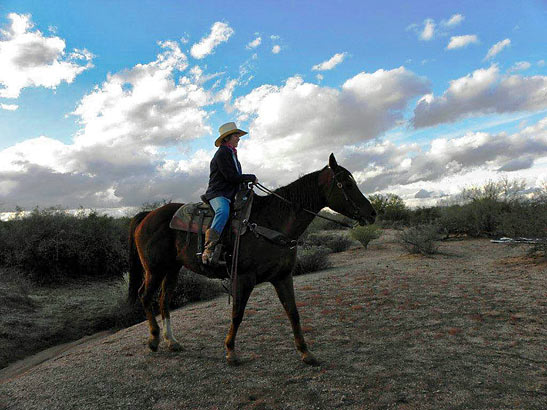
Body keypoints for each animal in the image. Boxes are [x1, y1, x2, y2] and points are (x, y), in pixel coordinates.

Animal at [128, 154, 376, 366]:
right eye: (347, 184)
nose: (372, 214)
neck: (272, 222)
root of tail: (147, 215)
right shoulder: (244, 278)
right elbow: (237, 314)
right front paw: (231, 351)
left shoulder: (283, 277)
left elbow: (293, 313)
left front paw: (306, 353)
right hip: (155, 269)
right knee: (145, 296)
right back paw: (153, 340)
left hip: (172, 269)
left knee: (164, 300)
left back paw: (171, 341)